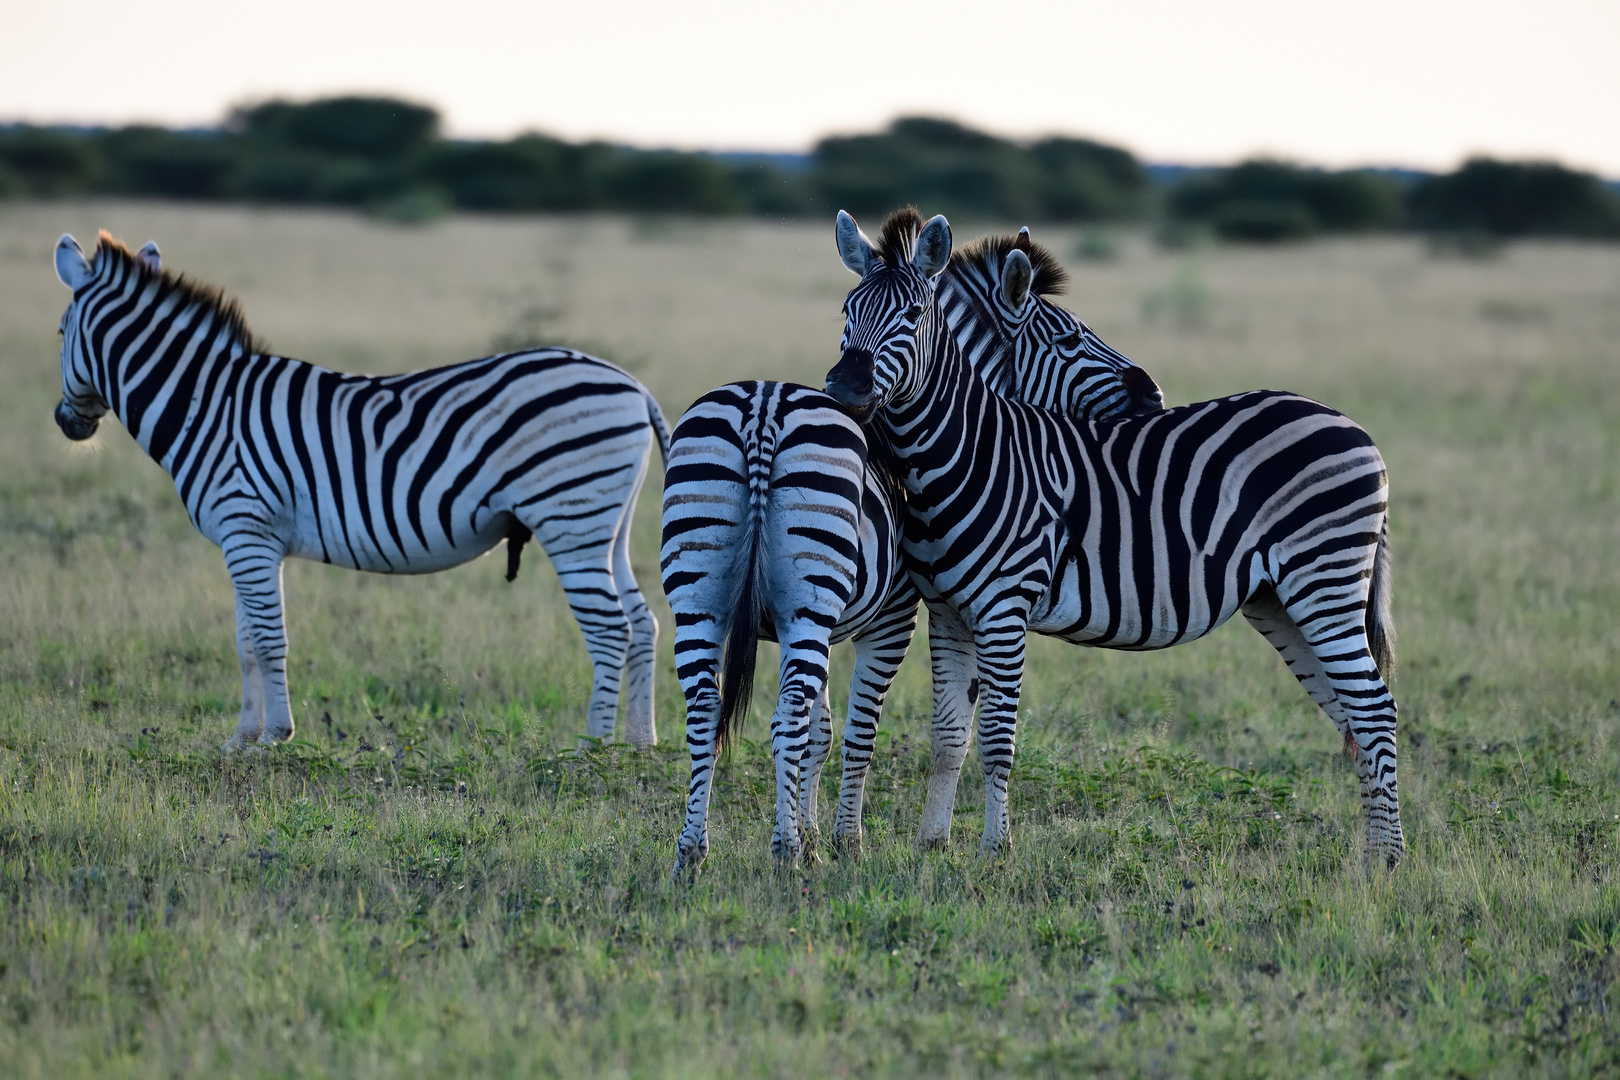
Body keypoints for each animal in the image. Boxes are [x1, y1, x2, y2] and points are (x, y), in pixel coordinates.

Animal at [52, 228, 670, 751]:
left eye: (59, 333)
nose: (65, 424)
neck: (208, 405)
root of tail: (633, 385)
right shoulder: (243, 540)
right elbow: (245, 643)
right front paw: (239, 741)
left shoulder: (247, 529)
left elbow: (268, 639)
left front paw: (274, 737)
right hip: (604, 526)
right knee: (641, 623)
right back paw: (638, 745)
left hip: (570, 519)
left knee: (609, 628)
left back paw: (590, 750)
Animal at [657, 208, 1166, 867]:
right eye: (1070, 340)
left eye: (911, 314)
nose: (1153, 393)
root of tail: (764, 407)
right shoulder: (892, 616)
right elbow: (857, 731)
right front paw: (842, 841)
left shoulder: (825, 624)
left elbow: (822, 734)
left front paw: (816, 832)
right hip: (806, 604)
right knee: (783, 717)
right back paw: (785, 853)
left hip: (701, 594)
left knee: (705, 712)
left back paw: (693, 852)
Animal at [822, 210, 1406, 867]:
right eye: (846, 311)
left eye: (913, 315)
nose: (844, 387)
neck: (969, 449)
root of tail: (1354, 427)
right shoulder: (948, 612)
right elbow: (949, 734)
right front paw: (932, 846)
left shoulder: (1004, 608)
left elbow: (997, 738)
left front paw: (995, 852)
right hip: (1282, 601)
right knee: (1352, 711)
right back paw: (1368, 860)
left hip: (1324, 582)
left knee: (1375, 709)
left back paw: (1388, 863)